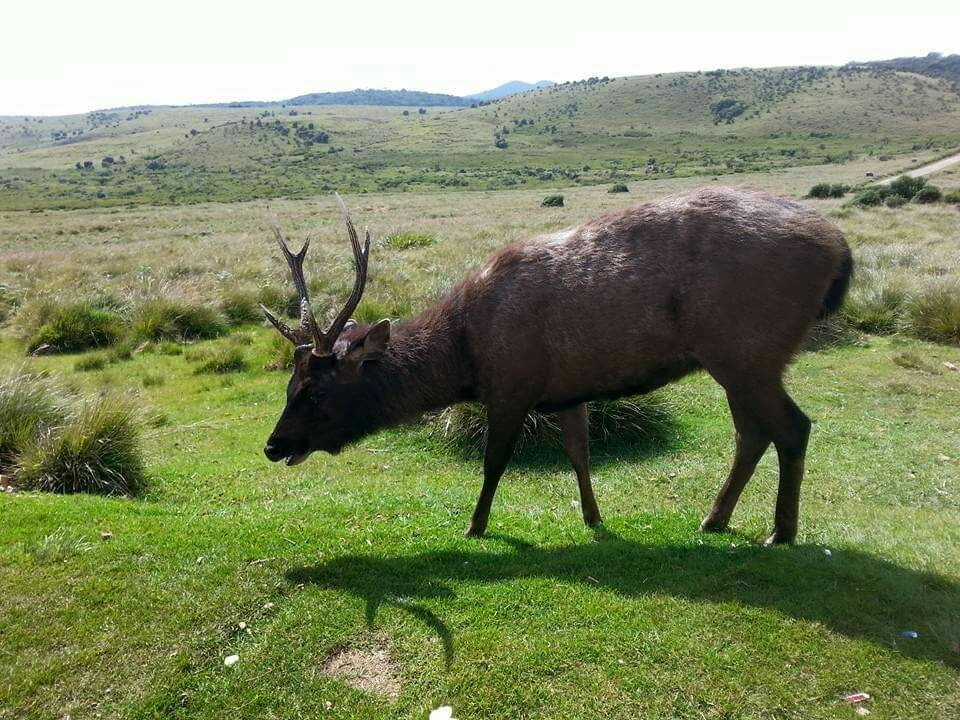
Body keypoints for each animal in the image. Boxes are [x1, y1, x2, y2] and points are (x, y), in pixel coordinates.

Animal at [258, 188, 852, 544]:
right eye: (288, 384)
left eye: (316, 391)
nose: (272, 445)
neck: (466, 355)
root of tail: (840, 249)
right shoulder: (568, 389)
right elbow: (579, 454)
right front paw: (594, 517)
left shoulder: (512, 383)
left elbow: (494, 462)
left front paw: (475, 526)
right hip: (737, 360)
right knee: (753, 433)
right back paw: (715, 518)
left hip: (748, 349)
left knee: (792, 427)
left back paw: (781, 532)